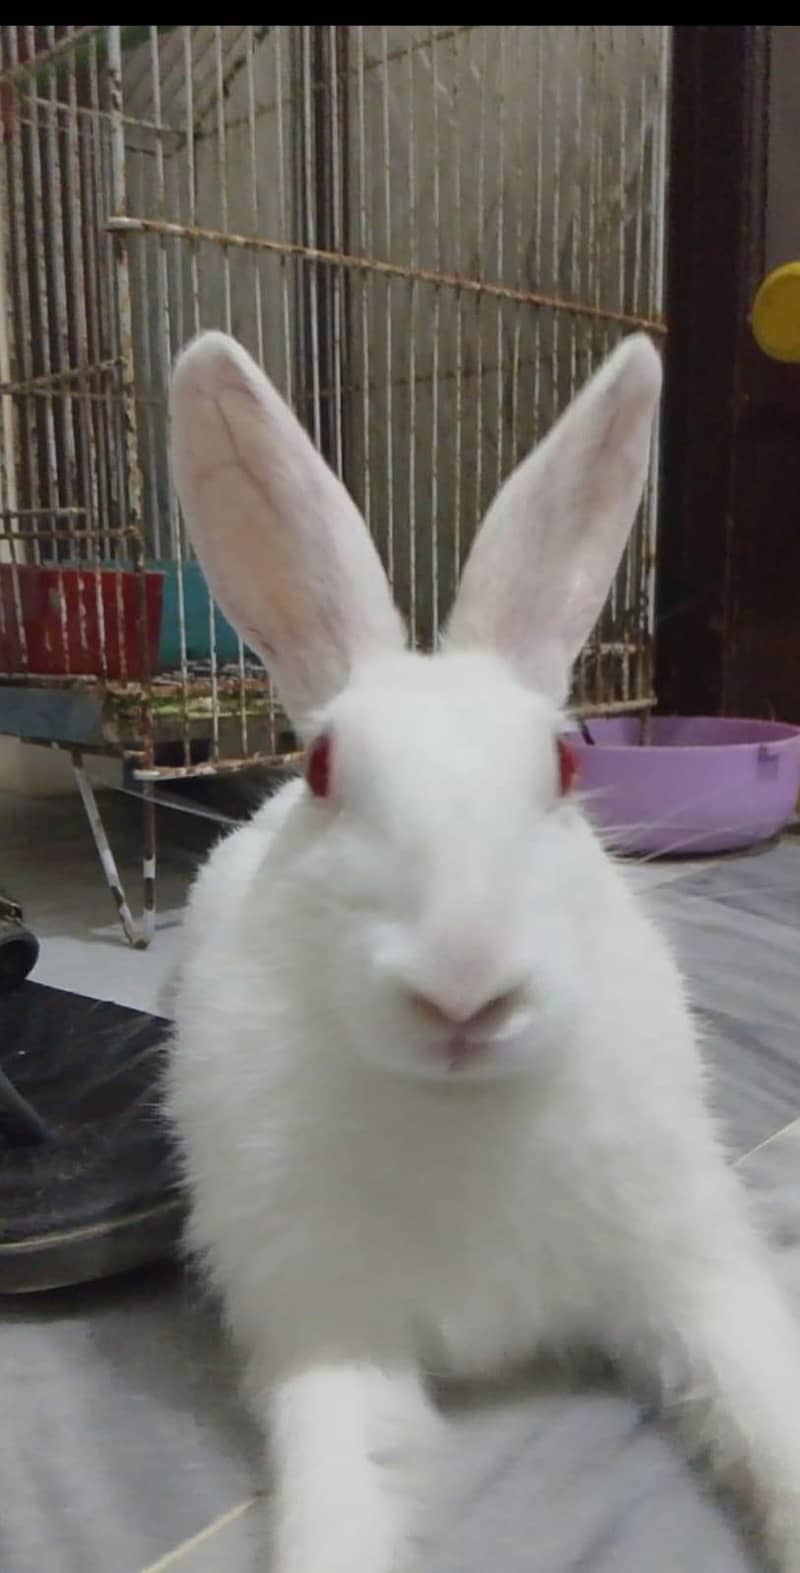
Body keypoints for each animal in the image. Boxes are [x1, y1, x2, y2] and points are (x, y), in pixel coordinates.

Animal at [166, 328, 800, 1573]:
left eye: (564, 765)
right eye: (321, 770)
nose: (463, 991)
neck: (458, 1106)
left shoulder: (689, 1266)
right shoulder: (328, 1330)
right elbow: (340, 1500)